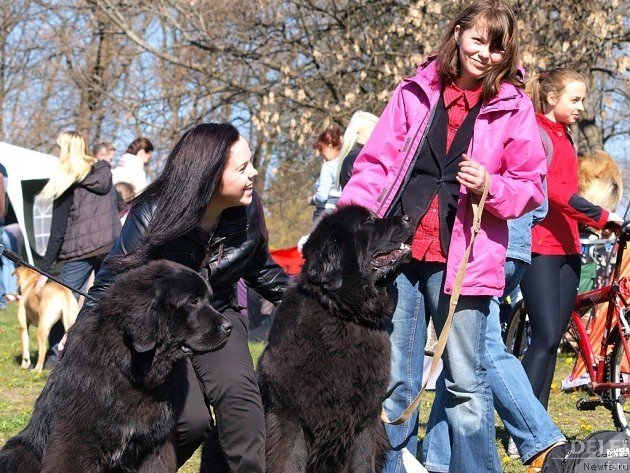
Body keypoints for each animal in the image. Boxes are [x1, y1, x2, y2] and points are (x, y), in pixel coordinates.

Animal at [0, 260, 232, 470]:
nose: (229, 327)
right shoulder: (74, 441)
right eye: (193, 301)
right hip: (19, 452)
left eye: (209, 299)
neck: (131, 369)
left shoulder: (154, 445)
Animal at [256, 205, 414, 472]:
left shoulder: (365, 416)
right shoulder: (289, 414)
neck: (345, 314)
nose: (409, 217)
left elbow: (362, 461)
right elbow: (290, 460)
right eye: (369, 221)